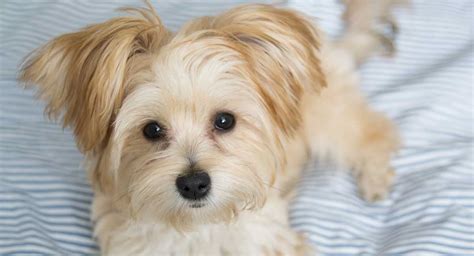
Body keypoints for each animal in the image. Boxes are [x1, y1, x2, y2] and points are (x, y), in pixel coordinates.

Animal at [20, 1, 402, 255]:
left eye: (224, 121)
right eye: (151, 130)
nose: (193, 183)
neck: (196, 230)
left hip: (328, 121)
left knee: (377, 132)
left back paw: (375, 179)